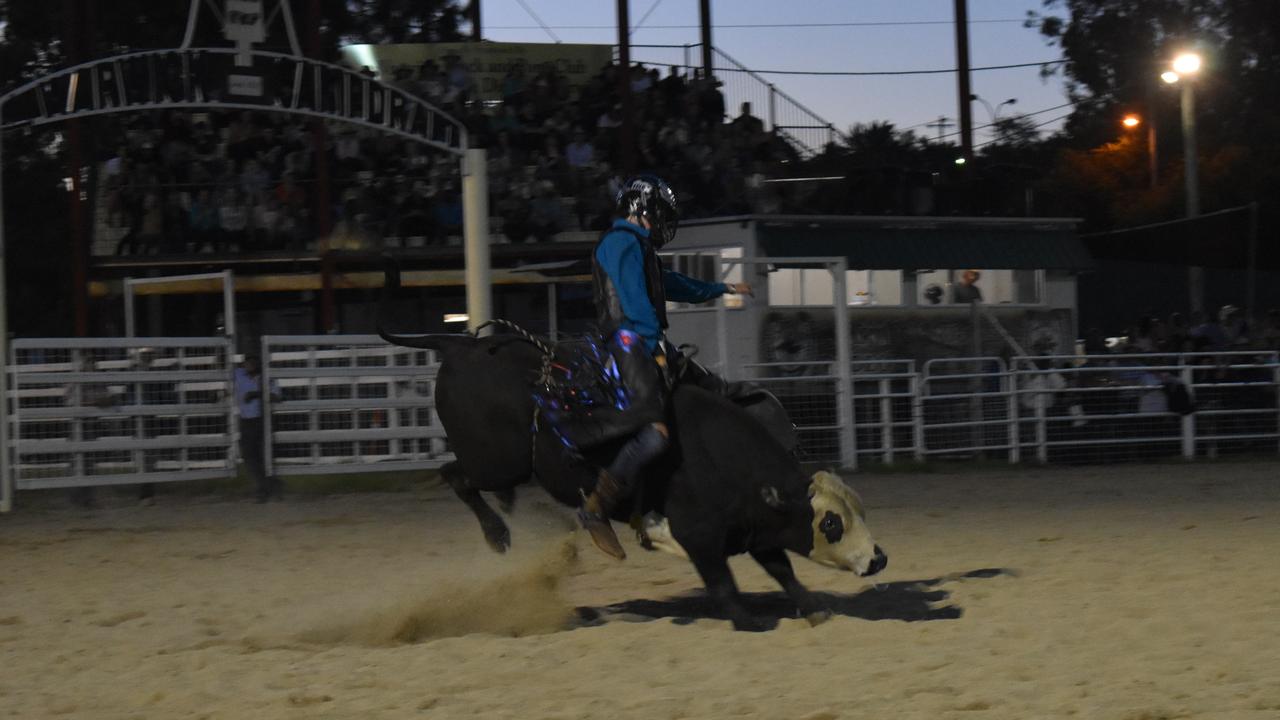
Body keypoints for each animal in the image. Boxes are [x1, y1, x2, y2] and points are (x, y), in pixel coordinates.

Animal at [373, 274, 885, 627]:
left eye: (858, 511)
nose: (879, 558)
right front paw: (748, 620)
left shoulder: (754, 527)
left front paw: (812, 607)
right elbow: (723, 582)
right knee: (456, 475)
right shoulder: (699, 534)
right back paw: (499, 534)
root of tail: (461, 345)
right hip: (497, 462)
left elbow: (782, 569)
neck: (721, 458)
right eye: (831, 523)